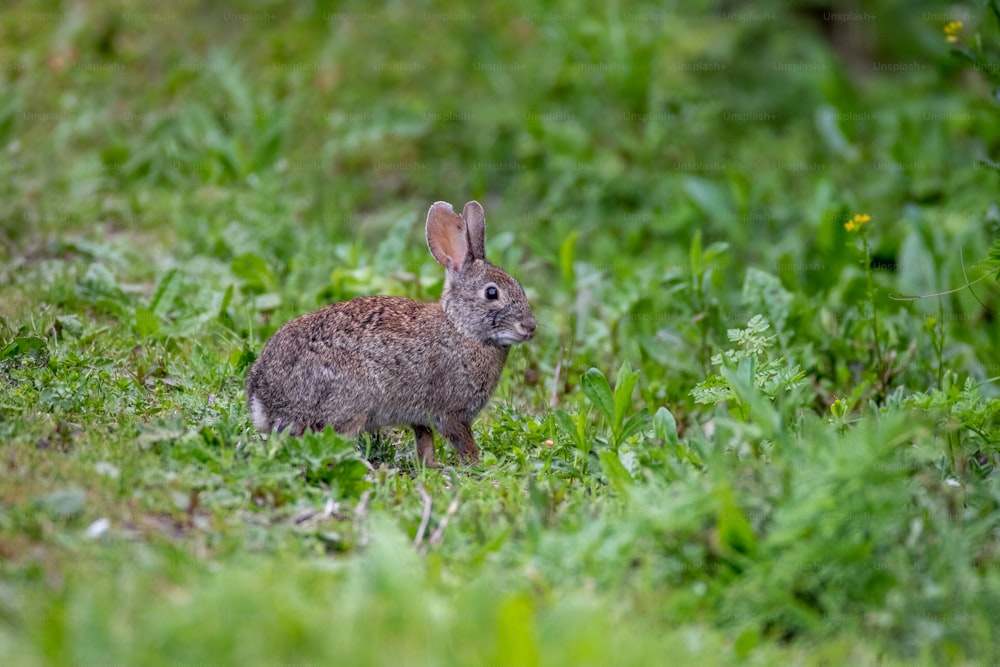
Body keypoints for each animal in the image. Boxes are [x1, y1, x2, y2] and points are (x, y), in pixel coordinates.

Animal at [245, 201, 536, 468]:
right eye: (492, 293)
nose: (530, 327)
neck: (461, 328)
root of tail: (264, 399)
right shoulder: (450, 413)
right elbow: (463, 442)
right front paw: (478, 466)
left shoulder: (421, 418)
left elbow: (425, 441)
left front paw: (431, 466)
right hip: (352, 400)